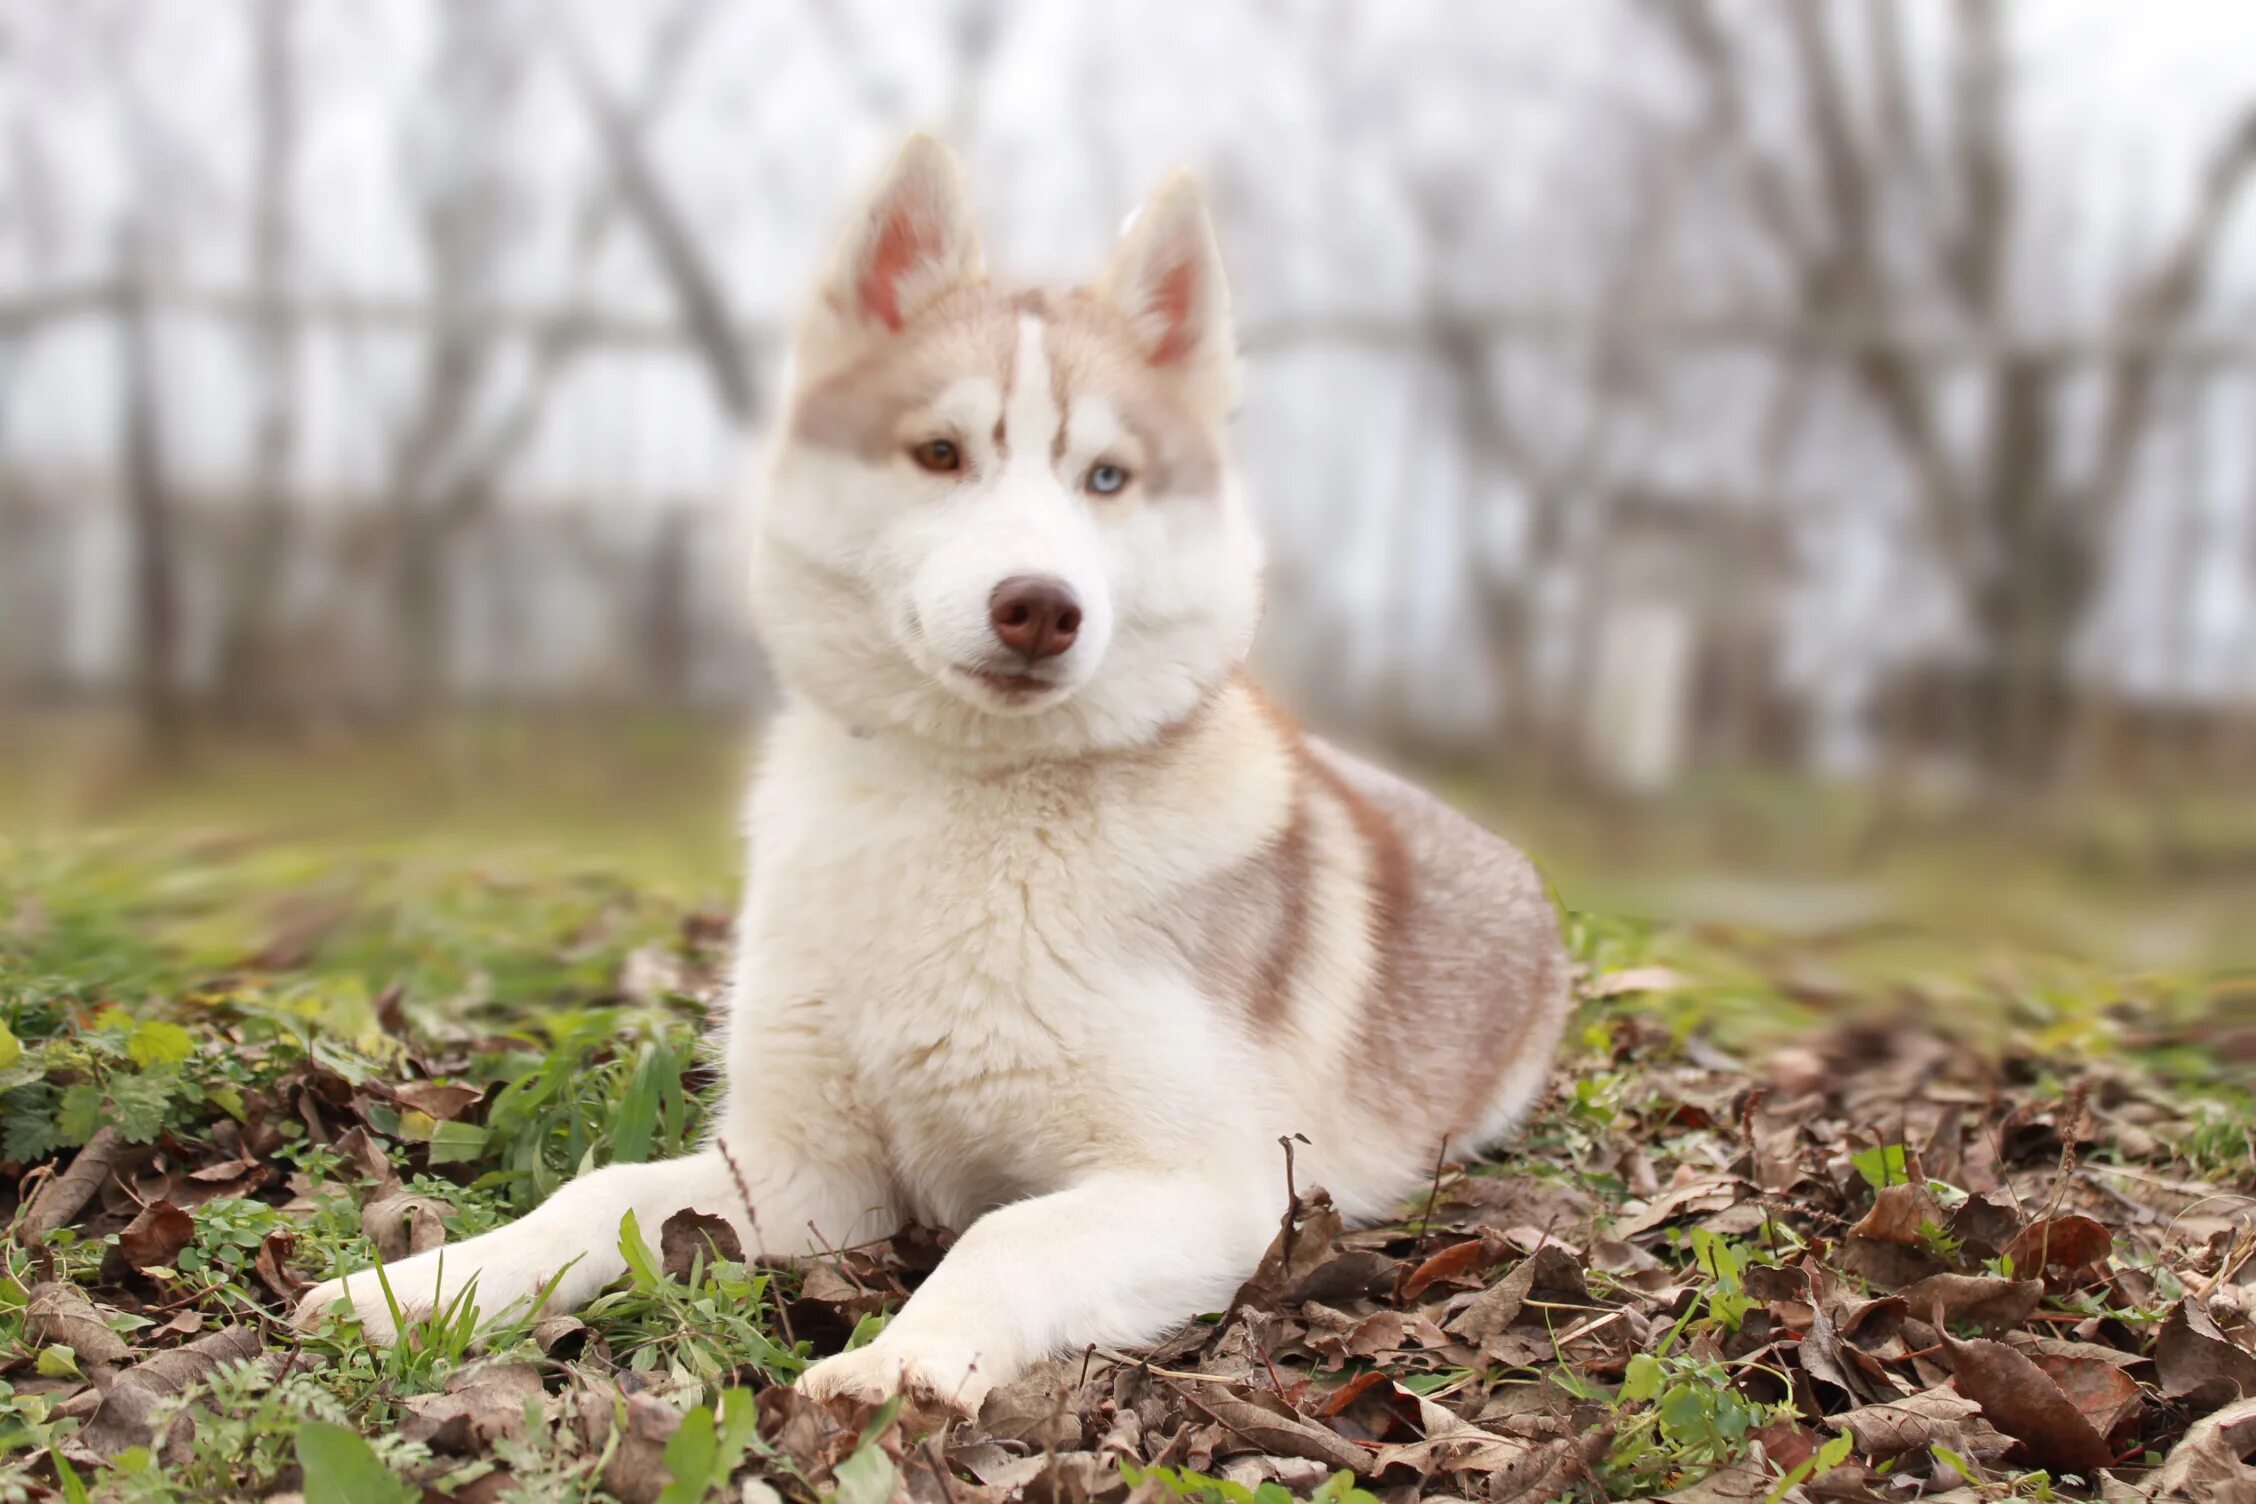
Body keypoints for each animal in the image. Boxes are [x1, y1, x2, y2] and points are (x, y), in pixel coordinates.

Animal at [295, 135, 1570, 1416]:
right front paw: (422, 1285)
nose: (1040, 607)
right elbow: (596, 1194)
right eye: (942, 454)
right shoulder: (798, 1165)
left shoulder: (1213, 1192)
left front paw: (901, 1366)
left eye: (1106, 478)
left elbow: (1002, 1235)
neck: (969, 807)